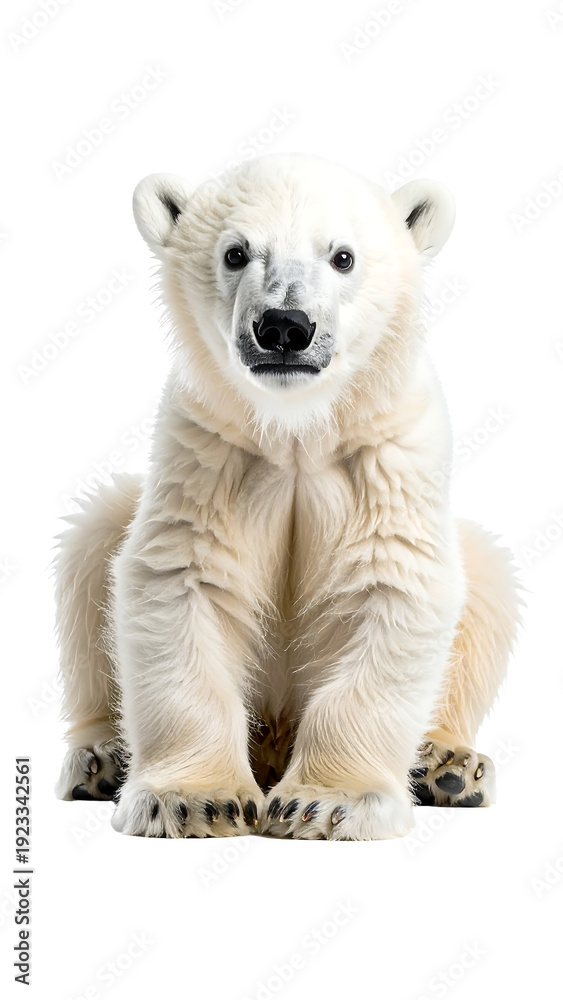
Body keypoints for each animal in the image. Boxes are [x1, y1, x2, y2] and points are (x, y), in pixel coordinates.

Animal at [54, 153, 520, 840]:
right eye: (237, 253)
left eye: (343, 257)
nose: (283, 327)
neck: (297, 428)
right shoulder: (210, 451)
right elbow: (180, 578)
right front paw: (194, 801)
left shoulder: (384, 455)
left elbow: (394, 583)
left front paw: (327, 804)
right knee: (92, 551)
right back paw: (102, 758)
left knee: (486, 583)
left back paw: (447, 766)